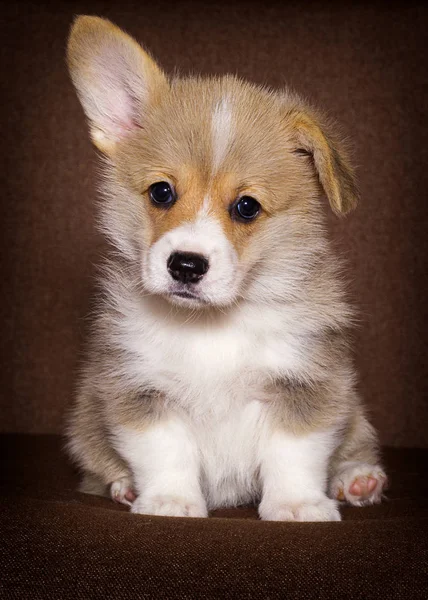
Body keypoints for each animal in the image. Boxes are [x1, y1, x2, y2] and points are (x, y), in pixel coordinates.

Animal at [64, 14, 388, 520]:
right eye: (161, 192)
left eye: (246, 206)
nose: (186, 265)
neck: (212, 325)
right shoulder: (139, 387)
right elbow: (166, 451)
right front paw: (170, 502)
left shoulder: (304, 383)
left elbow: (293, 453)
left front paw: (297, 505)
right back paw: (123, 487)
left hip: (353, 412)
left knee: (355, 445)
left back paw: (357, 480)